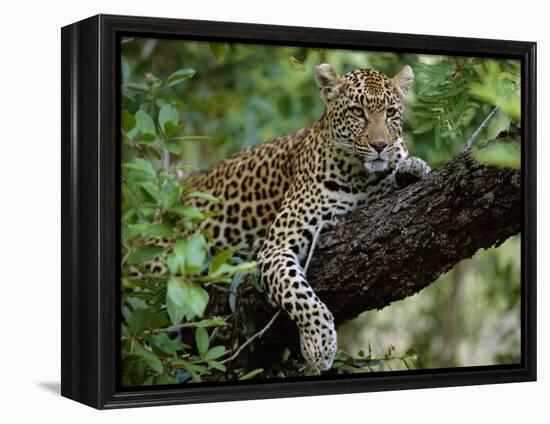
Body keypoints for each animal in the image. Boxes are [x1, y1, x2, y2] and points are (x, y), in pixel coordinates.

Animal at [143, 63, 432, 372]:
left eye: (390, 112)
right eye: (357, 112)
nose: (380, 145)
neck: (361, 177)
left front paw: (412, 168)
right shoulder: (276, 247)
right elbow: (299, 294)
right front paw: (319, 343)